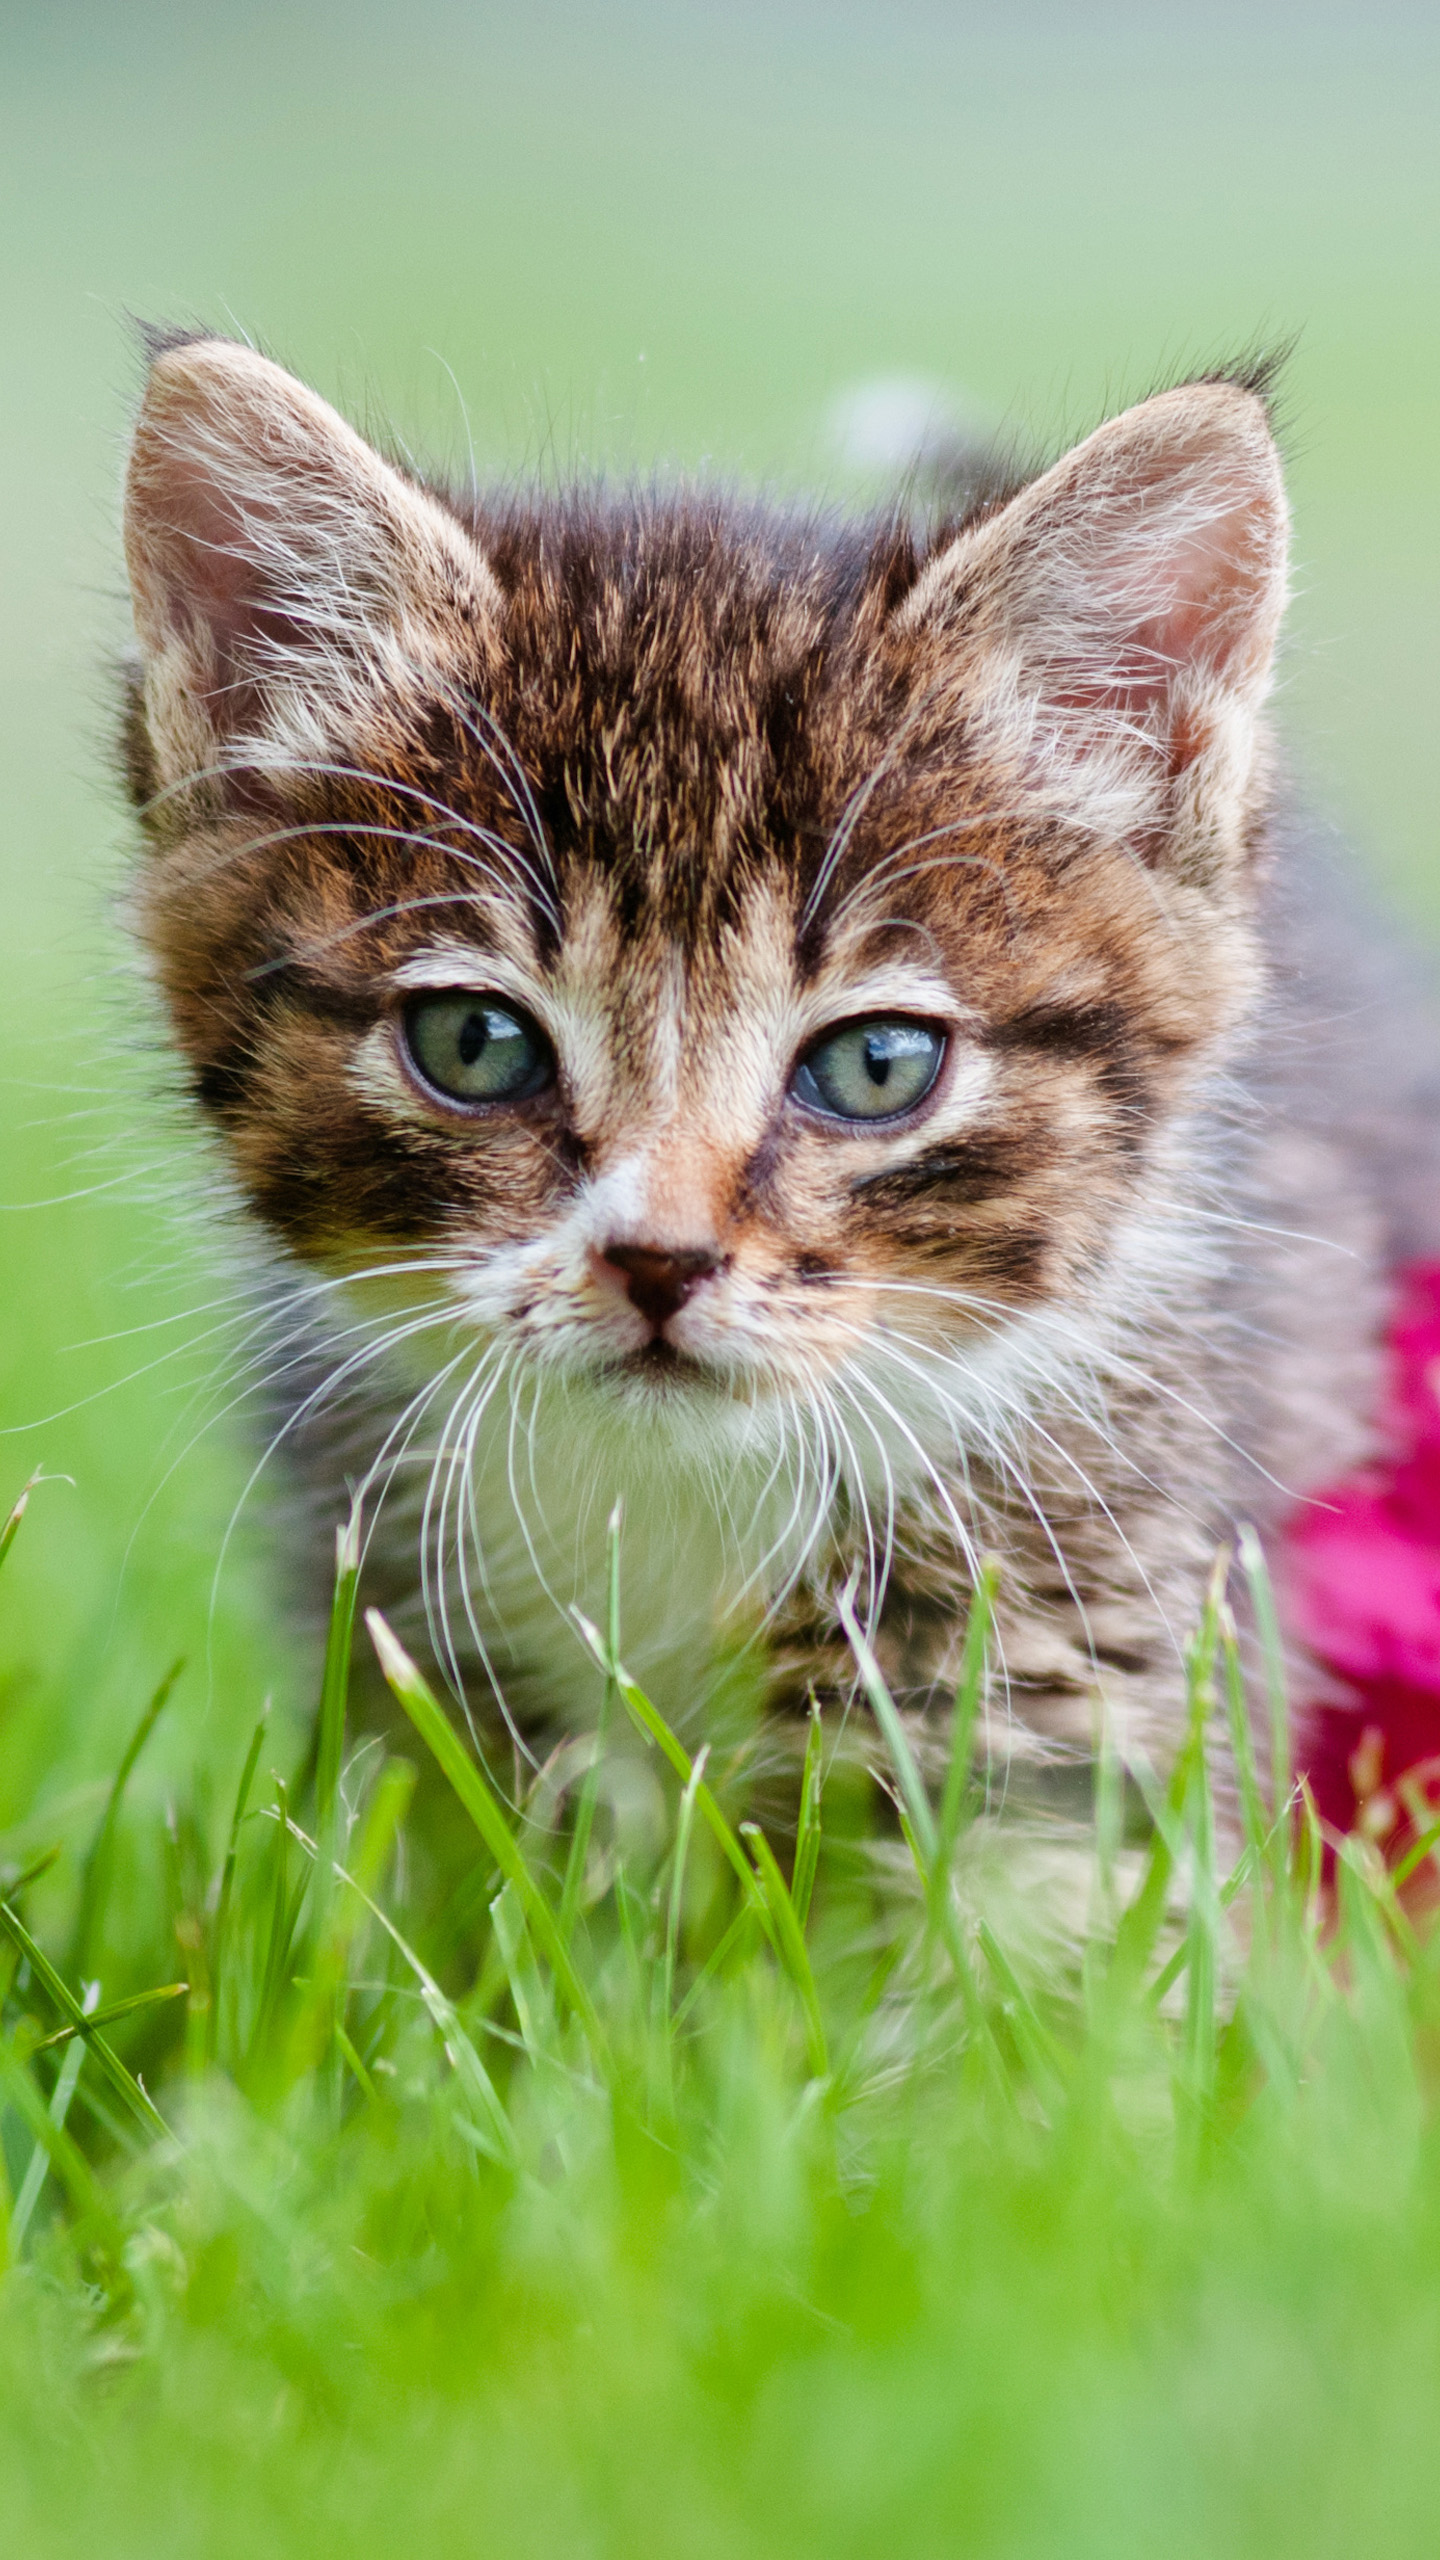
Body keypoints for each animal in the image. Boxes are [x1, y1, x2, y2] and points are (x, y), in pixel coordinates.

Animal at [114, 340, 1434, 1832]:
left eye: (875, 1065)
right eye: (476, 1044)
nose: (658, 1259)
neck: (673, 1499)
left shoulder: (1087, 1629)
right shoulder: (405, 1640)